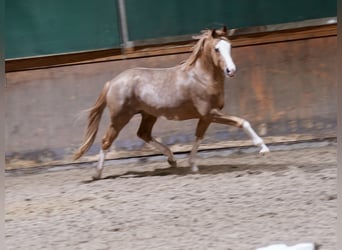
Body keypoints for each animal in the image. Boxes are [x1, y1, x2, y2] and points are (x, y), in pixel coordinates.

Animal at [75, 26, 270, 180]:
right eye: (216, 49)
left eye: (230, 46)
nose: (231, 70)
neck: (201, 78)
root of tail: (113, 82)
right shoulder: (210, 113)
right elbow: (242, 122)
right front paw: (263, 148)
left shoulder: (206, 117)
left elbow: (199, 136)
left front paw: (192, 166)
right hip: (120, 118)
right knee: (106, 141)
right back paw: (97, 174)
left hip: (149, 115)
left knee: (143, 134)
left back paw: (172, 159)